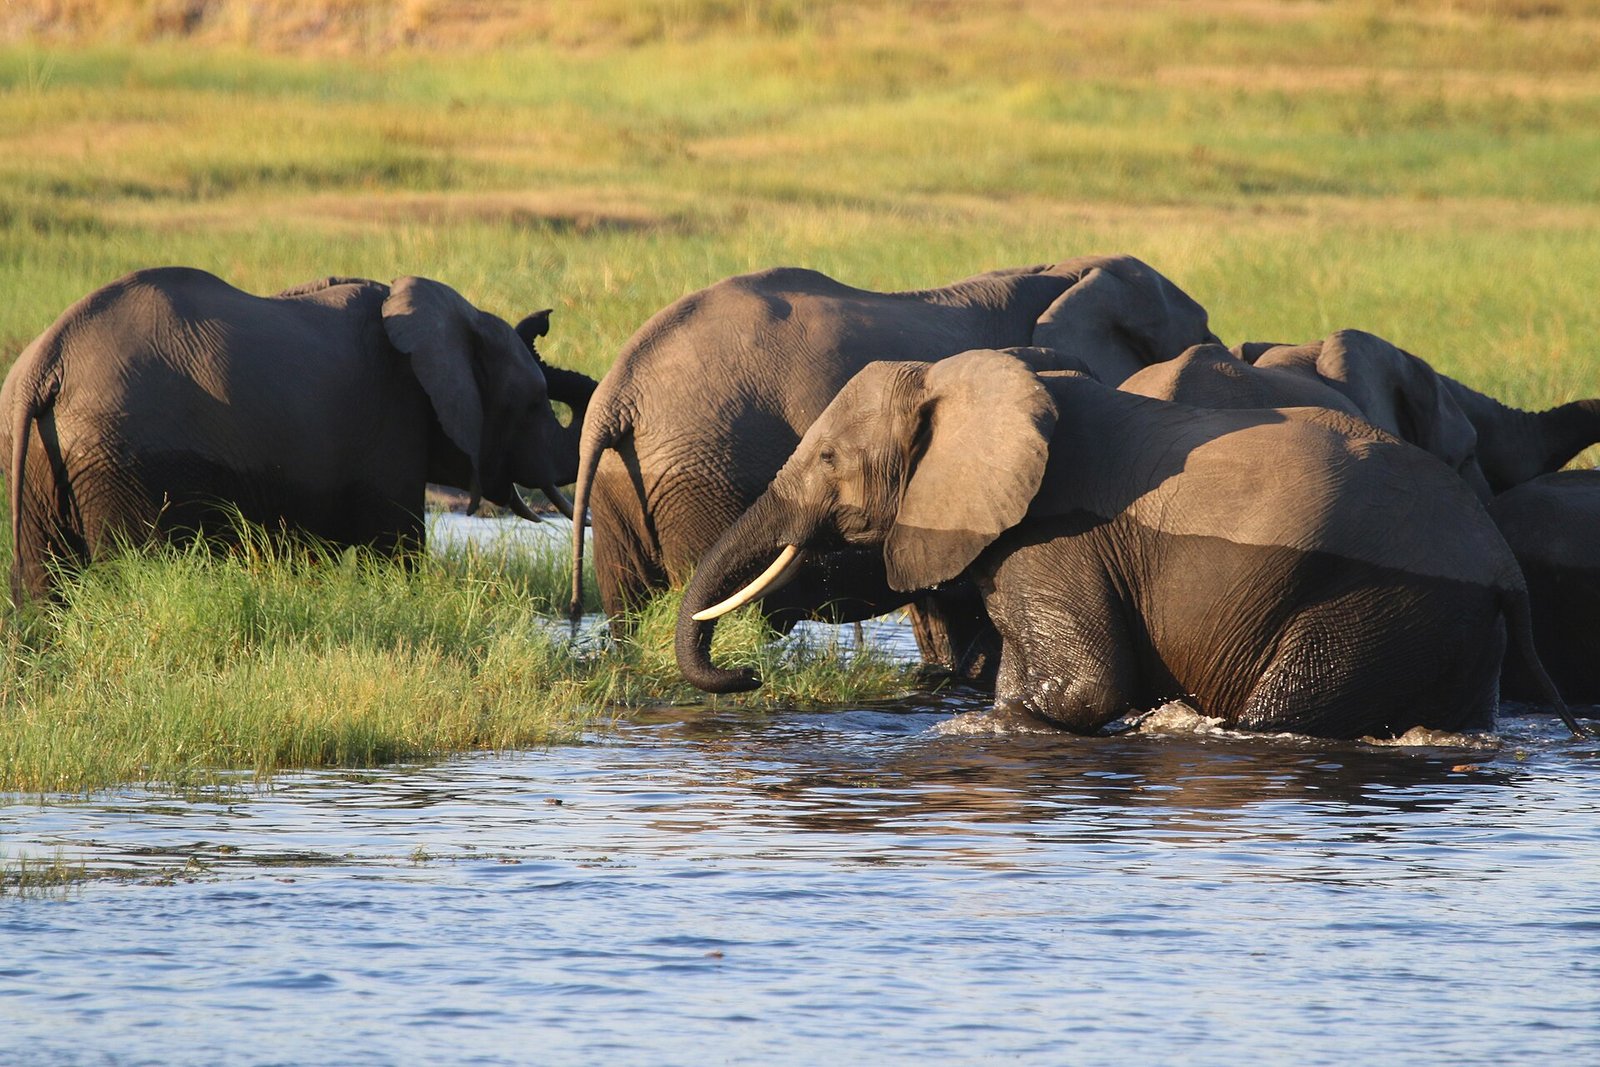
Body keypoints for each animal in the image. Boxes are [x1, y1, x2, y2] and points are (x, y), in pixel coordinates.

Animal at [0, 266, 597, 602]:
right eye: (533, 403)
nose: (547, 317)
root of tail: (47, 361)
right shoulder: (392, 424)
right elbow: (395, 549)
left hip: (39, 458)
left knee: (44, 579)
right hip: (122, 456)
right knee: (129, 571)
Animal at [676, 350, 1583, 740]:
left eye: (829, 461)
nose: (748, 675)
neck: (959, 377)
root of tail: (1500, 566)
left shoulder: (1055, 536)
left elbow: (1084, 687)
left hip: (1366, 600)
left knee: (1289, 708)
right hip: (1443, 619)